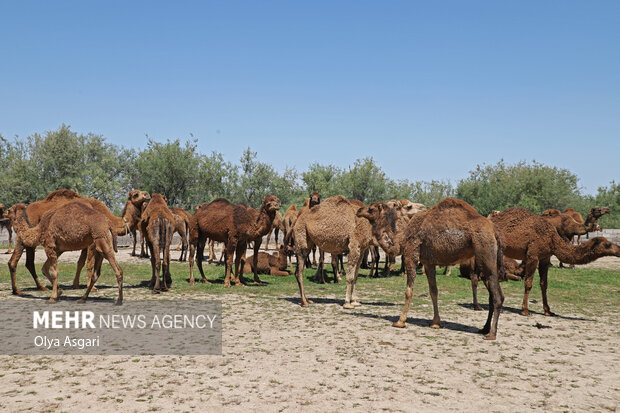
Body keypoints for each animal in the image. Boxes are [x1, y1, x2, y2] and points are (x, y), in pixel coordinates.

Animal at [356, 198, 506, 340]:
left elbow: (408, 291)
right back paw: (484, 328)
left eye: (371, 209)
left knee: (497, 296)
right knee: (493, 295)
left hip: (485, 252)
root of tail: (495, 231)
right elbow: (433, 291)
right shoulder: (428, 262)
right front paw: (436, 323)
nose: (359, 210)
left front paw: (400, 321)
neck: (402, 238)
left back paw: (491, 334)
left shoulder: (411, 254)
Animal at [490, 206, 620, 316]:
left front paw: (548, 311)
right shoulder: (533, 255)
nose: (619, 250)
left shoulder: (545, 257)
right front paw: (525, 310)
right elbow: (528, 283)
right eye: (608, 244)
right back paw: (499, 308)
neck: (552, 239)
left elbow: (544, 284)